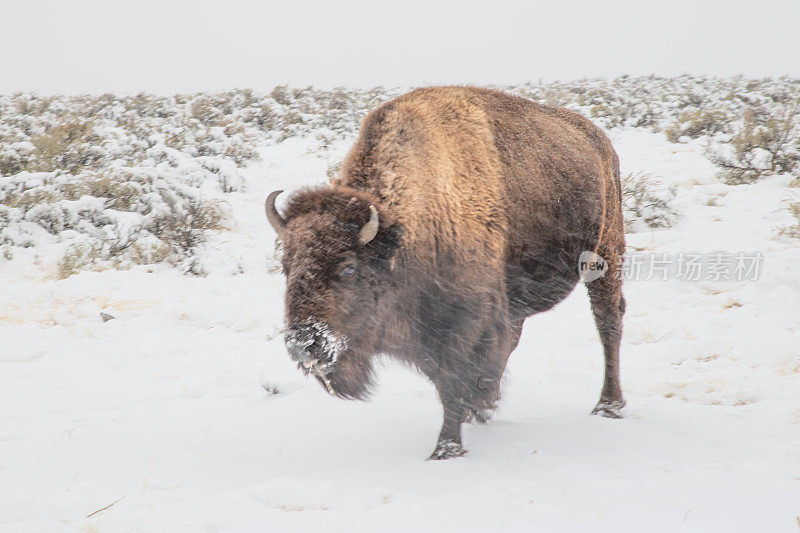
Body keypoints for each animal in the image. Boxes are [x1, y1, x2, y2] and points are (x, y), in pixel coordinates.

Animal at [266, 85, 628, 460]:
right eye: (285, 266)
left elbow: (452, 381)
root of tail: (599, 140)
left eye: (348, 268)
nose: (303, 343)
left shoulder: (462, 324)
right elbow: (450, 380)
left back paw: (607, 406)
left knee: (608, 322)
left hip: (605, 254)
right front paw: (472, 416)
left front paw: (446, 448)